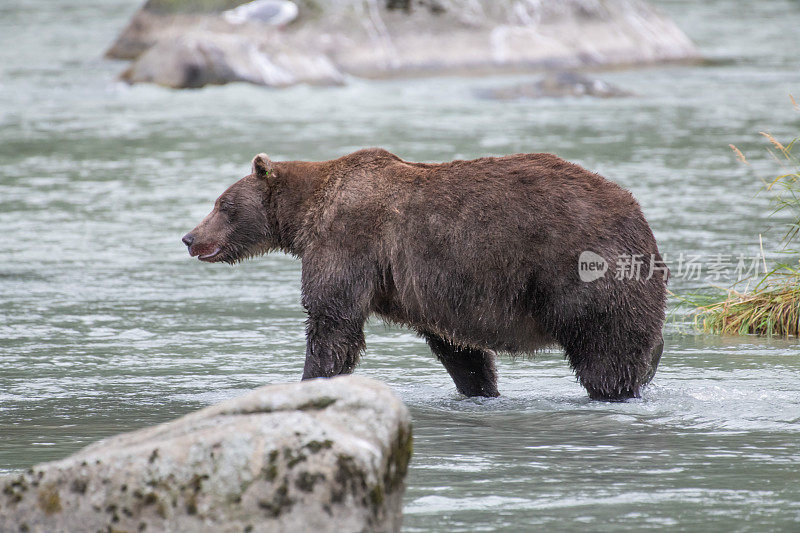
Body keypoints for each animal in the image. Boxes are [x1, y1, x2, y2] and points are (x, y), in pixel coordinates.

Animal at [183, 149, 668, 400]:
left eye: (222, 205)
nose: (190, 237)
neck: (304, 216)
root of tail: (638, 216)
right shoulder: (424, 288)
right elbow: (458, 347)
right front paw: (480, 387)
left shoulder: (348, 240)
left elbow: (331, 319)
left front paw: (311, 378)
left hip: (582, 270)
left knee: (605, 351)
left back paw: (615, 389)